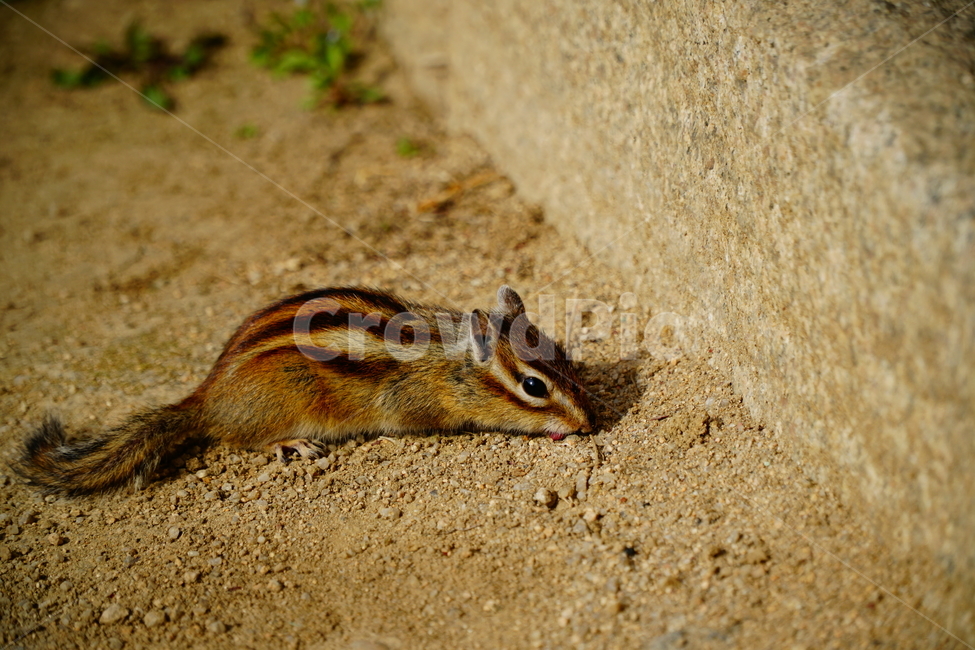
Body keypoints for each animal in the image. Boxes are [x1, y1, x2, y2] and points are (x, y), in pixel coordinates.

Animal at [15, 285, 595, 495]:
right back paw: (288, 443)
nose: (587, 423)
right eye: (533, 386)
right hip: (283, 403)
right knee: (240, 440)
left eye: (564, 354)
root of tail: (206, 397)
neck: (447, 364)